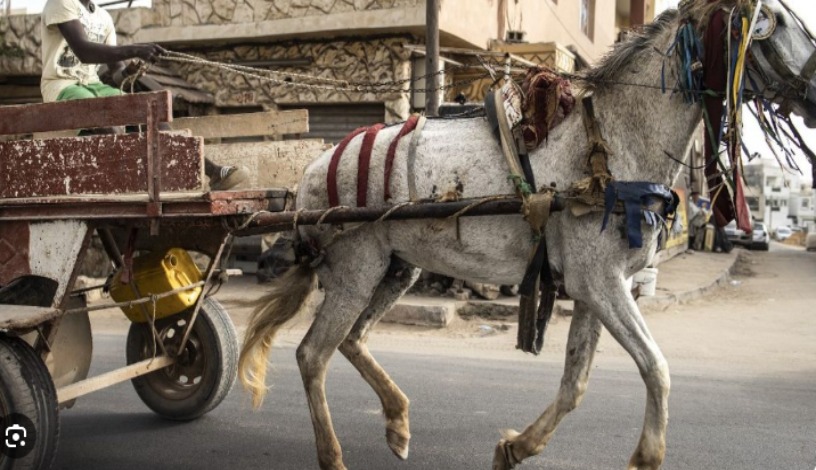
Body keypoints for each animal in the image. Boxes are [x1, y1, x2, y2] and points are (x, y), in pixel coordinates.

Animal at [238, 1, 816, 468]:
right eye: (773, 21)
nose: (814, 88)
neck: (610, 146)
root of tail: (312, 172)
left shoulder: (597, 286)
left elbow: (576, 381)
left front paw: (515, 447)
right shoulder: (599, 283)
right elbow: (656, 367)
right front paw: (647, 456)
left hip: (398, 268)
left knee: (353, 339)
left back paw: (398, 423)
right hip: (357, 269)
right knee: (313, 354)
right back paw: (333, 455)